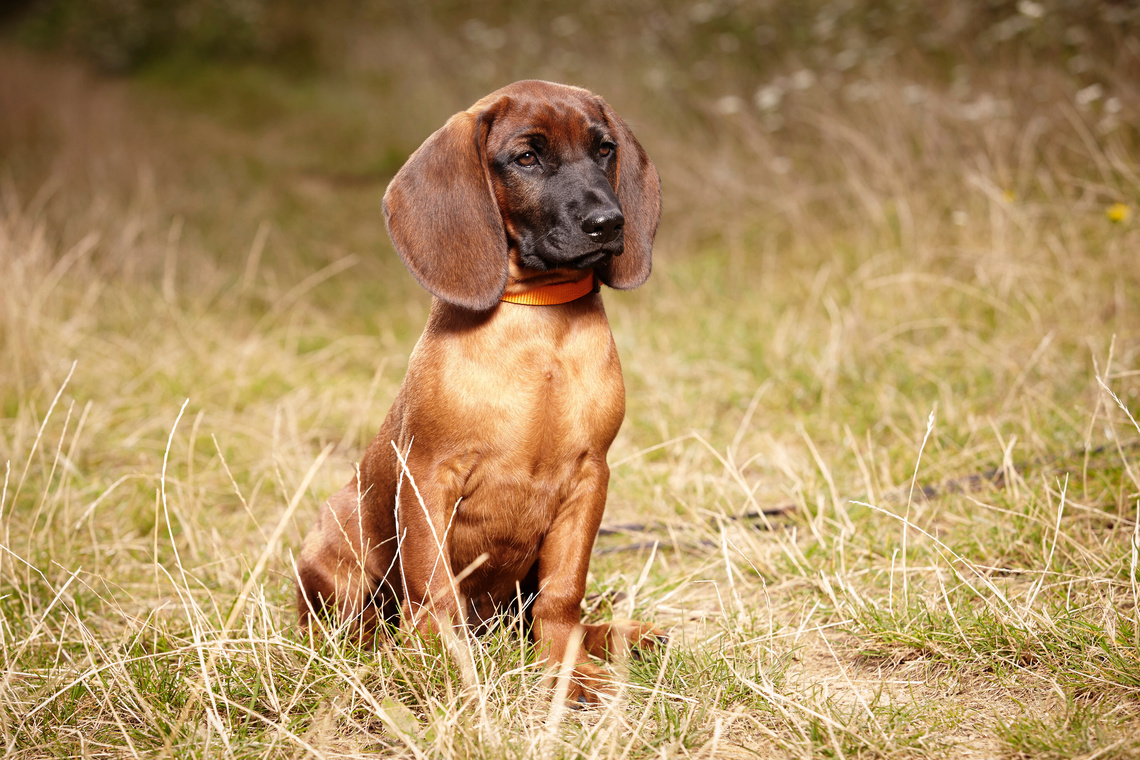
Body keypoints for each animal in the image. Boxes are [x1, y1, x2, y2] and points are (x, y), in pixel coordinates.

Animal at [294, 80, 665, 706]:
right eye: (527, 157)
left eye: (605, 150)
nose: (609, 222)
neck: (537, 320)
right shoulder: (428, 476)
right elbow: (434, 591)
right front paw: (440, 666)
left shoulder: (590, 478)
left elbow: (563, 595)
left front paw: (567, 668)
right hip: (340, 536)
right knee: (349, 623)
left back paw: (617, 634)